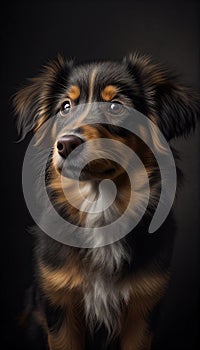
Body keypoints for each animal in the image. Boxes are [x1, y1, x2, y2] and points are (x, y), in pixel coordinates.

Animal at [13, 52, 199, 350]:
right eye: (65, 107)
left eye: (115, 106)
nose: (66, 144)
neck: (99, 204)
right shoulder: (59, 306)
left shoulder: (142, 310)